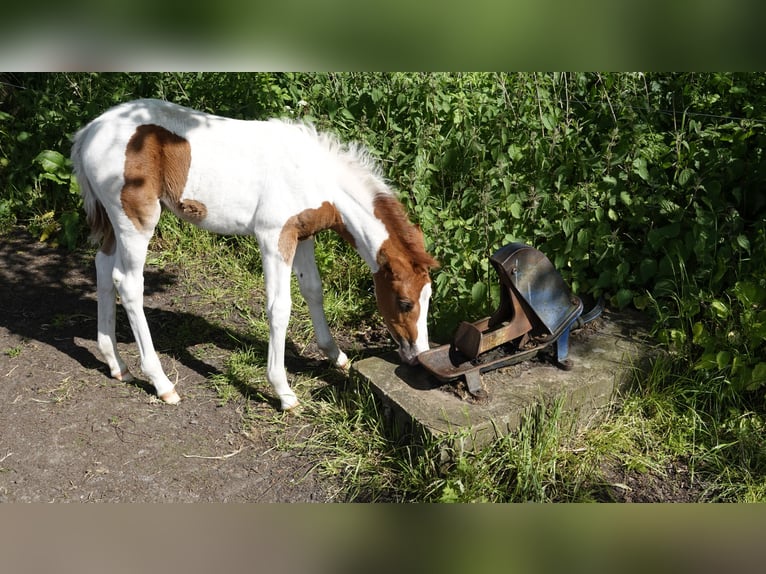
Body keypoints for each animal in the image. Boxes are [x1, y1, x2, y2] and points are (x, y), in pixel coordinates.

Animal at [73, 100, 438, 414]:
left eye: (428, 298)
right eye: (405, 303)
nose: (419, 355)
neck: (313, 174)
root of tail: (89, 131)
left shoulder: (302, 235)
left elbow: (313, 291)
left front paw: (336, 356)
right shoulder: (273, 236)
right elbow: (280, 308)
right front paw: (283, 391)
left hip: (113, 222)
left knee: (103, 267)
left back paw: (117, 364)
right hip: (137, 219)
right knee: (127, 282)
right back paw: (162, 384)